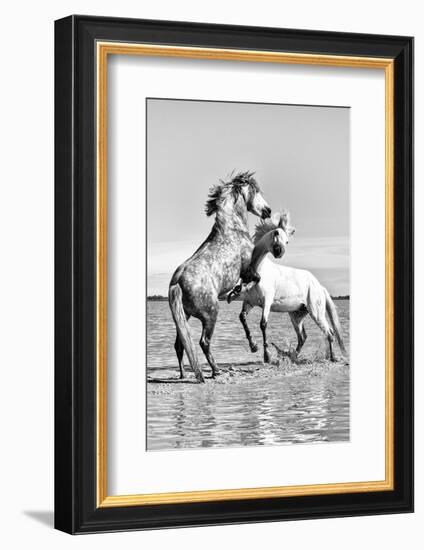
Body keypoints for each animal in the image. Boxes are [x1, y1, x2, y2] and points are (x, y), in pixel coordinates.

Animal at [167, 172, 270, 384]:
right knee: (203, 342)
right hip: (210, 314)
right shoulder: (248, 270)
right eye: (256, 191)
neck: (232, 229)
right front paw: (254, 345)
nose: (268, 211)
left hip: (184, 317)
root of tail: (177, 282)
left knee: (180, 345)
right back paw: (215, 371)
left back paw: (183, 374)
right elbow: (254, 279)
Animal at [229, 216, 348, 366]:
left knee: (329, 332)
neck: (258, 271)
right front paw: (253, 346)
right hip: (296, 315)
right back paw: (292, 356)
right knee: (303, 337)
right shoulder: (249, 303)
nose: (279, 252)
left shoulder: (266, 302)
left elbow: (263, 324)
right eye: (276, 233)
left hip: (316, 313)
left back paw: (331, 358)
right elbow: (242, 318)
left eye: (287, 241)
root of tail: (320, 287)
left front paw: (267, 356)